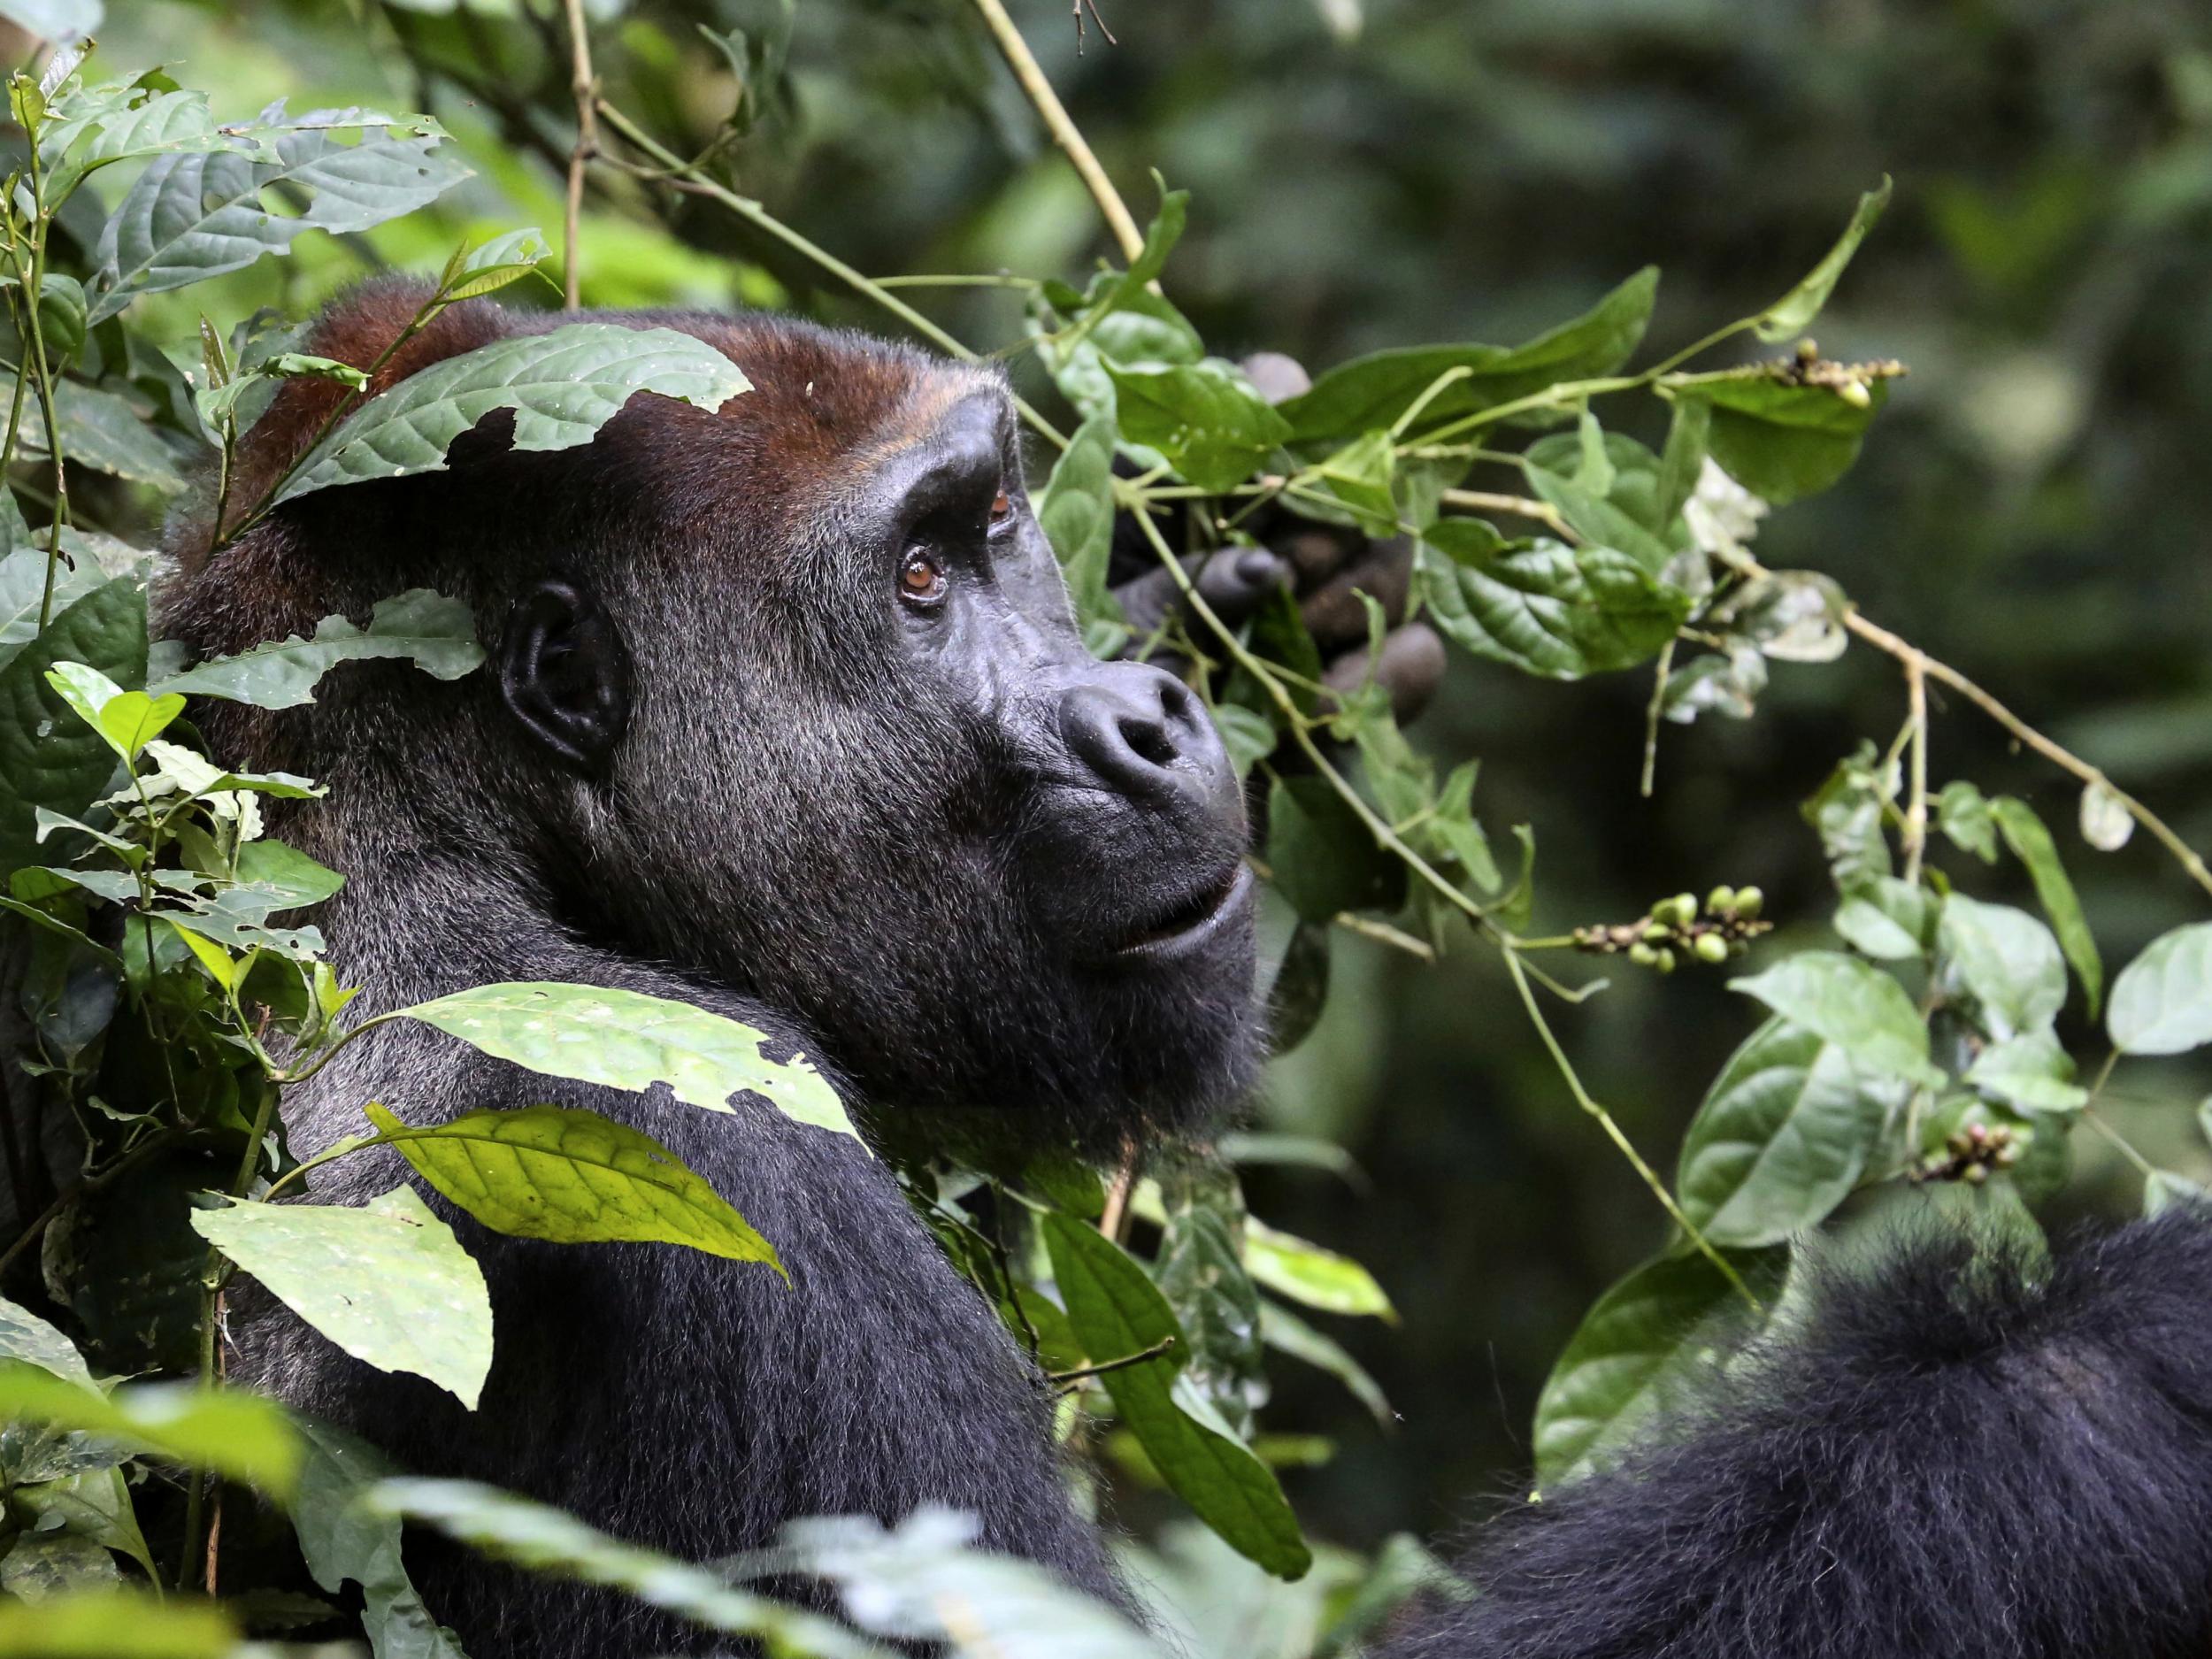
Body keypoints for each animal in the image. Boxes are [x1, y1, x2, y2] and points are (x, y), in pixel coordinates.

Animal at [164, 292, 2212, 1659]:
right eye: (916, 582)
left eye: (995, 527)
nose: (1146, 720)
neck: (396, 824)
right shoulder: (687, 1127)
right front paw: (2110, 1378)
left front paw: (1276, 579)